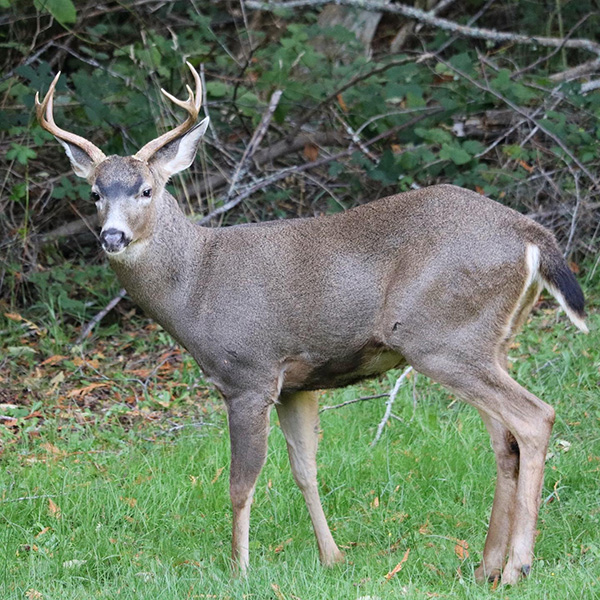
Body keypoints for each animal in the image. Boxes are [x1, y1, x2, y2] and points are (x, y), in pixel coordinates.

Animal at [35, 63, 588, 584]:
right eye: (94, 193)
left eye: (147, 190)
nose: (112, 236)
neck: (196, 286)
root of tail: (532, 234)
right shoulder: (296, 383)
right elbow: (305, 469)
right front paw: (333, 558)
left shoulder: (249, 374)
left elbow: (241, 482)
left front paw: (239, 569)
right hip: (489, 341)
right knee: (504, 441)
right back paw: (485, 567)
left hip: (439, 337)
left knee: (534, 417)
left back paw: (517, 567)